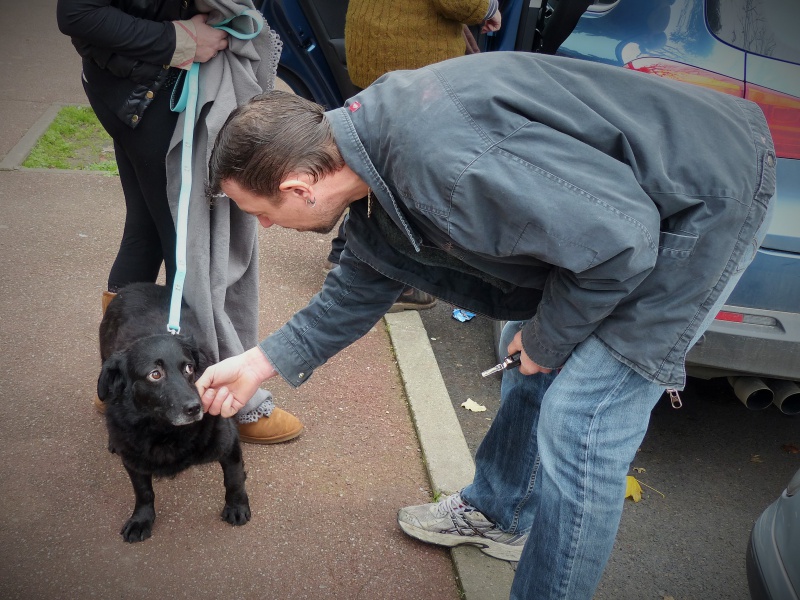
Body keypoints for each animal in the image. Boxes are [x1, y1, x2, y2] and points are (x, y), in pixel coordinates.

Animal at [98, 282, 252, 544]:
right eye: (155, 374)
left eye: (189, 367)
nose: (195, 407)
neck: (164, 431)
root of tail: (135, 285)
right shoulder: (133, 458)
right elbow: (144, 492)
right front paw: (141, 519)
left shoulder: (228, 441)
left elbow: (234, 478)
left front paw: (237, 507)